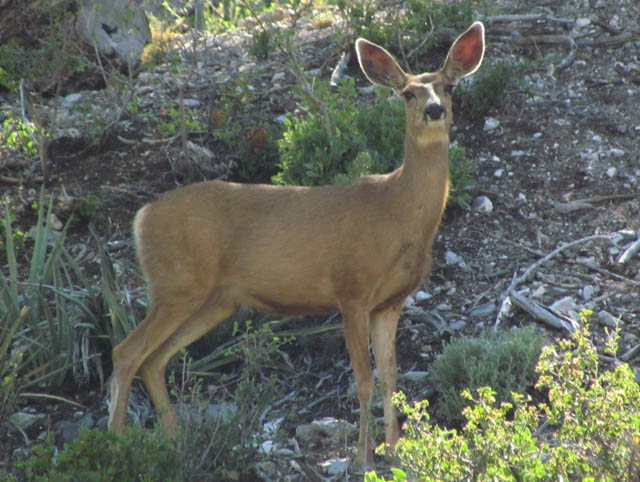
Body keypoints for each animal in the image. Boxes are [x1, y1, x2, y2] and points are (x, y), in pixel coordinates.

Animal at [107, 21, 484, 466]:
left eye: (448, 86)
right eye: (408, 92)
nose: (434, 110)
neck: (399, 214)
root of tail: (142, 216)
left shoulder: (389, 303)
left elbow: (391, 377)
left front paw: (394, 454)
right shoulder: (351, 290)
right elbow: (364, 379)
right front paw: (362, 458)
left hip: (215, 300)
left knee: (155, 359)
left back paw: (175, 445)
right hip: (177, 283)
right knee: (126, 352)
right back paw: (114, 445)